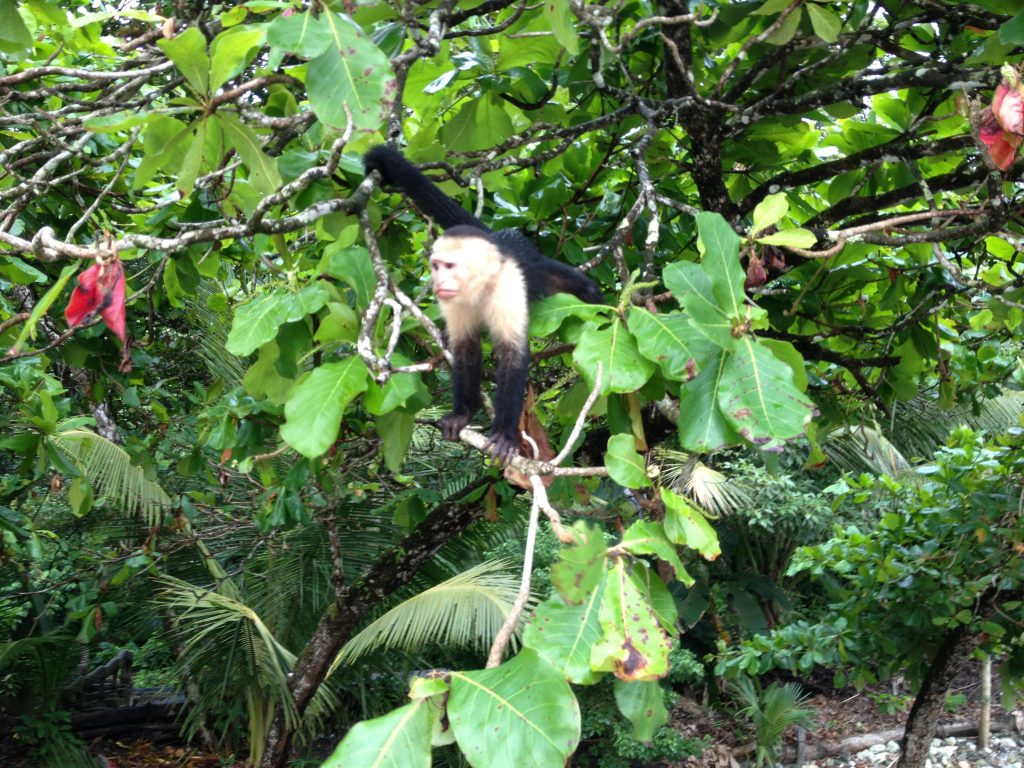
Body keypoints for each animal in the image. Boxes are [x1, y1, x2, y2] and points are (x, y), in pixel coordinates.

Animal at [364, 148, 602, 466]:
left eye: (450, 266)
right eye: (436, 266)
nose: (439, 280)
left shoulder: (506, 289)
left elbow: (513, 354)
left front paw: (503, 435)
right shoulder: (452, 301)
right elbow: (466, 348)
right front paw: (462, 414)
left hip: (540, 267)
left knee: (584, 289)